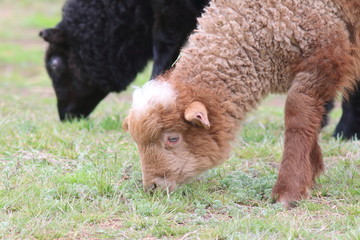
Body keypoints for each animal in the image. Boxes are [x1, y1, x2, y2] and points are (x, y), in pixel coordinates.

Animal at [123, 0, 360, 207]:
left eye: (173, 138)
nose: (153, 187)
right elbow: (311, 121)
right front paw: (312, 172)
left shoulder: (323, 61)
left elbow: (298, 118)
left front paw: (289, 190)